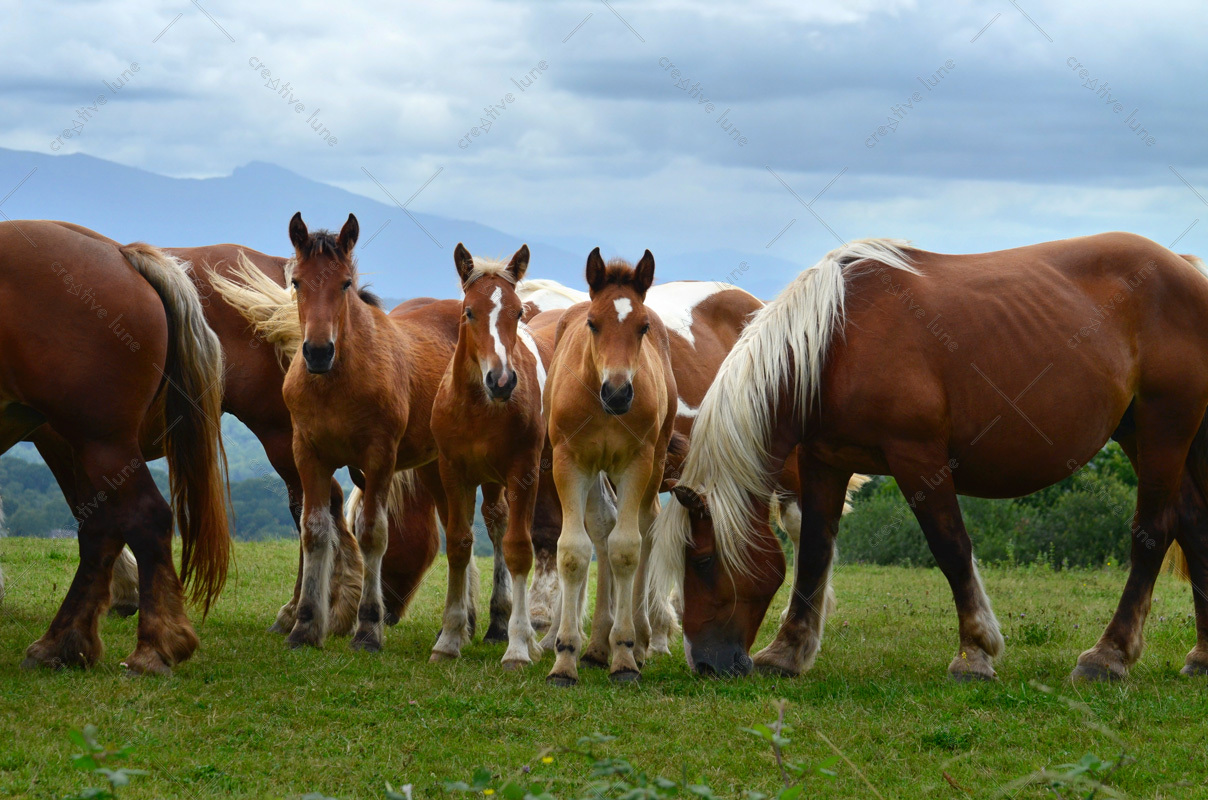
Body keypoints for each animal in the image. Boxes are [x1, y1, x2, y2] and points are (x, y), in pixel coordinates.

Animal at [0, 220, 228, 675]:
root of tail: (121, 253)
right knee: (101, 528)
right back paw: (63, 643)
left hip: (100, 441)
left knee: (144, 517)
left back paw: (156, 646)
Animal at [215, 212, 461, 652]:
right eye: (297, 282)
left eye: (345, 283)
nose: (317, 352)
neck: (339, 383)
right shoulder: (308, 455)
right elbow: (314, 530)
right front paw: (304, 625)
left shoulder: (379, 459)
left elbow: (372, 533)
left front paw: (367, 629)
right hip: (437, 466)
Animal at [544, 249, 677, 685]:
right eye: (592, 323)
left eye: (643, 326)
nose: (618, 393)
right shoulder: (569, 462)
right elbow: (573, 551)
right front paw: (565, 658)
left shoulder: (637, 462)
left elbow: (626, 548)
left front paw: (624, 655)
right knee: (601, 527)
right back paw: (596, 646)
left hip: (655, 462)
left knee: (645, 526)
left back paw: (639, 639)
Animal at [650, 234, 1208, 682]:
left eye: (701, 561)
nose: (705, 663)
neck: (834, 343)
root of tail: (1184, 268)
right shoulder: (824, 461)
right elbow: (813, 552)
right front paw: (787, 652)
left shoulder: (917, 459)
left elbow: (951, 548)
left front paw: (975, 651)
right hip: (1145, 435)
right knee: (1192, 523)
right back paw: (1200, 657)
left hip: (1163, 430)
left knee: (1155, 530)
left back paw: (1109, 655)